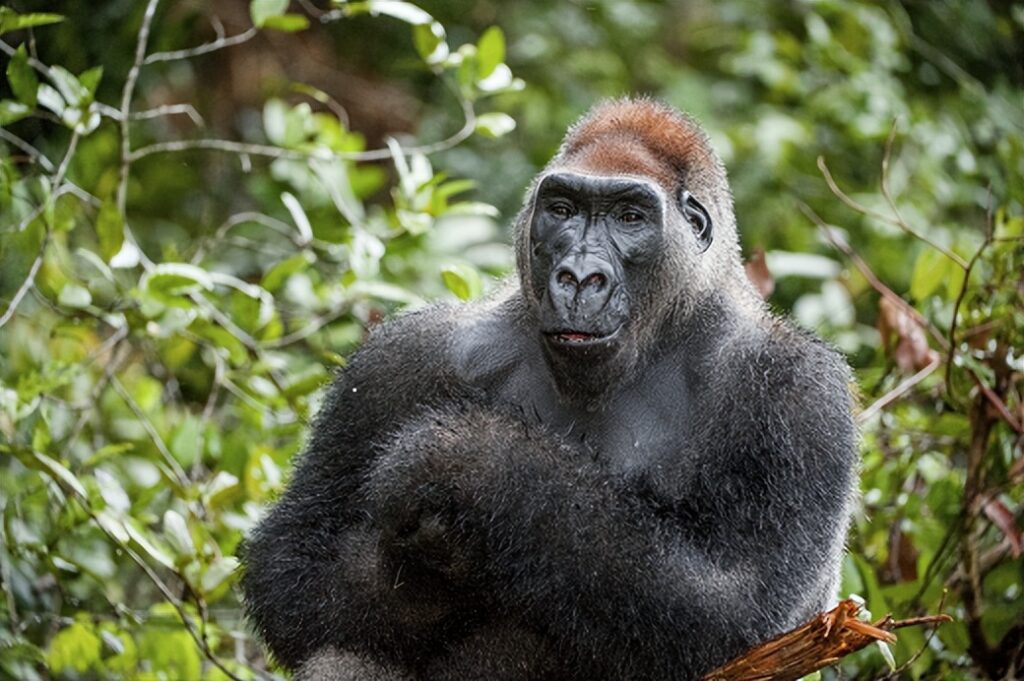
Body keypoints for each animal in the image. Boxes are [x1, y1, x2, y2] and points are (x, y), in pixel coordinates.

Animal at [243, 96, 860, 679]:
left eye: (630, 217)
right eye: (563, 210)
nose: (580, 277)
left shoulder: (802, 395)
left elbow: (741, 603)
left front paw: (470, 463)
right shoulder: (400, 357)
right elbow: (291, 565)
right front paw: (427, 571)